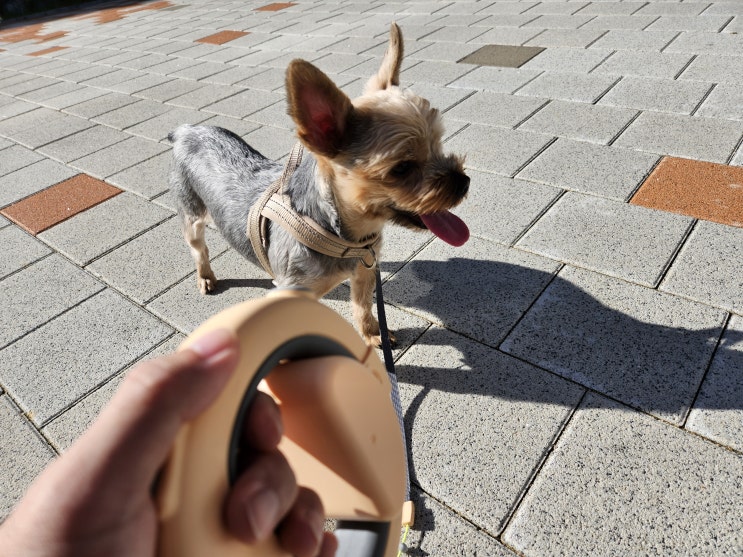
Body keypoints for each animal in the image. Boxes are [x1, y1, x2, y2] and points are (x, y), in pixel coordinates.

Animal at [168, 23, 470, 347]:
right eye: (401, 168)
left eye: (439, 144)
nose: (463, 182)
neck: (346, 237)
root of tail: (186, 130)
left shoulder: (365, 269)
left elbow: (363, 304)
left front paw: (372, 333)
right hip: (191, 214)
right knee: (198, 248)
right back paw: (205, 277)